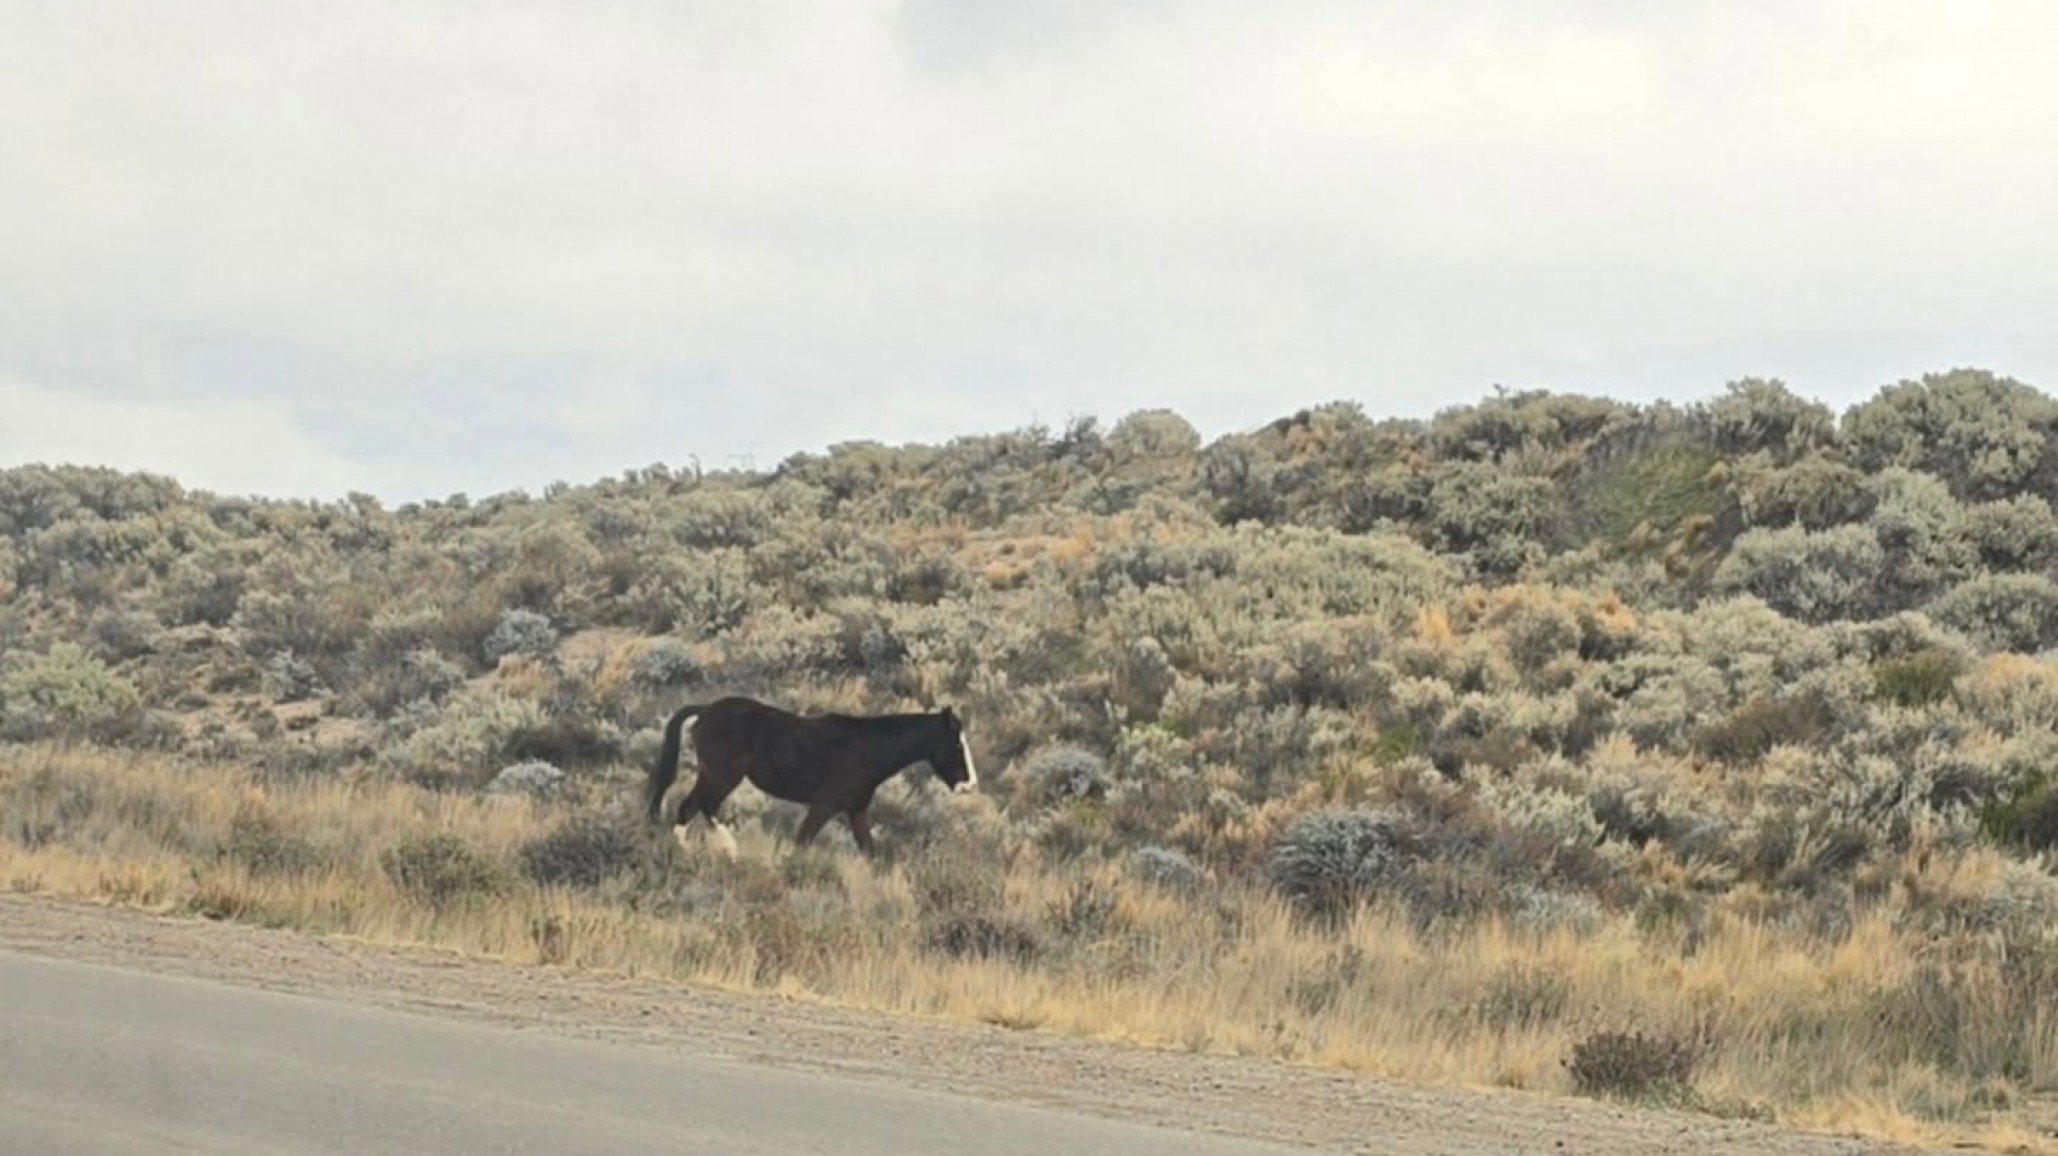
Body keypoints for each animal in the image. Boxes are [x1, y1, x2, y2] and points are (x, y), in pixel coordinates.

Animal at [642, 695, 978, 858]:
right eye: (956, 744)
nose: (970, 785)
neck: (867, 750)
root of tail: (706, 710)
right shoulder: (824, 805)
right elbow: (802, 841)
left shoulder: (856, 811)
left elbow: (870, 853)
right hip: (723, 776)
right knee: (702, 806)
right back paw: (728, 849)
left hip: (713, 775)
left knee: (691, 808)